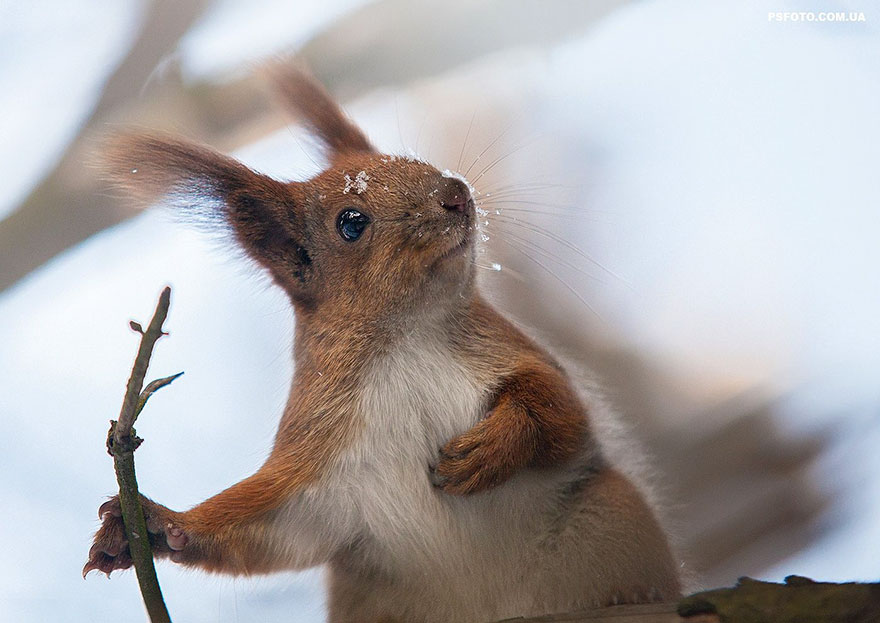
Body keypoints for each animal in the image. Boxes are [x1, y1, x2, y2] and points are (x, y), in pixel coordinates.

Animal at [84, 66, 680, 620]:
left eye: (413, 160)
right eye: (351, 222)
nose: (456, 194)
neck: (404, 338)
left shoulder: (513, 351)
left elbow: (562, 412)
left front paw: (491, 448)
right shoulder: (321, 452)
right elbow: (272, 528)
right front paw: (156, 524)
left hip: (611, 516)